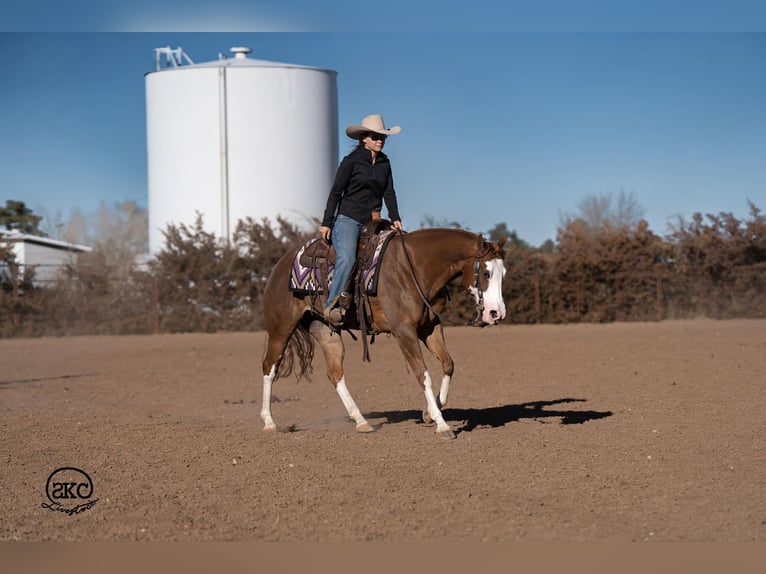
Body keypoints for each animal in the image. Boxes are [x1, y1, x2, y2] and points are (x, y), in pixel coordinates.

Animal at [260, 227, 507, 439]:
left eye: (503, 274)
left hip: (324, 329)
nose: (496, 313)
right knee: (269, 367)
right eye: (486, 273)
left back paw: (361, 421)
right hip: (281, 328)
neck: (415, 267)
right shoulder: (403, 330)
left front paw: (429, 413)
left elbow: (448, 364)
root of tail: (279, 267)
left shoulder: (430, 327)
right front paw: (442, 424)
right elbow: (422, 373)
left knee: (335, 373)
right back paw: (269, 422)